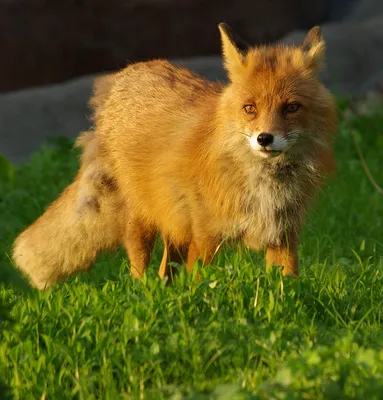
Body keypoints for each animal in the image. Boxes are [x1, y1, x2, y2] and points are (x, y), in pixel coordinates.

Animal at [11, 23, 336, 290]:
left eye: (291, 108)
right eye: (250, 108)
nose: (265, 138)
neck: (263, 184)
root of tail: (123, 74)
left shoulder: (284, 235)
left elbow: (287, 286)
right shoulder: (205, 237)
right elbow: (199, 284)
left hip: (174, 226)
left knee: (165, 272)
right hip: (142, 221)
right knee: (141, 271)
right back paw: (144, 298)